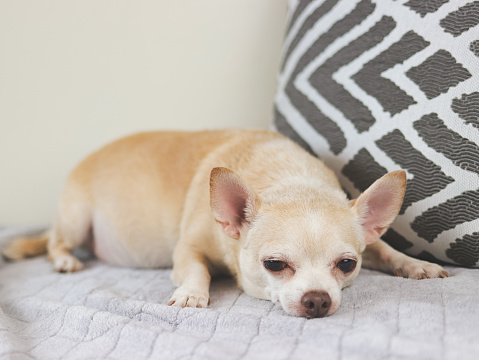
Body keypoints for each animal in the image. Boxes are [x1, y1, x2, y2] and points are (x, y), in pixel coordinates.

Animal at [2, 129, 450, 318]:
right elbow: (196, 269)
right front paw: (191, 294)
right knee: (55, 242)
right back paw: (64, 259)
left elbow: (385, 249)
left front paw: (416, 264)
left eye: (346, 265)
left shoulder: (369, 244)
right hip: (76, 218)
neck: (289, 178)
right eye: (274, 265)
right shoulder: (187, 249)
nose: (318, 300)